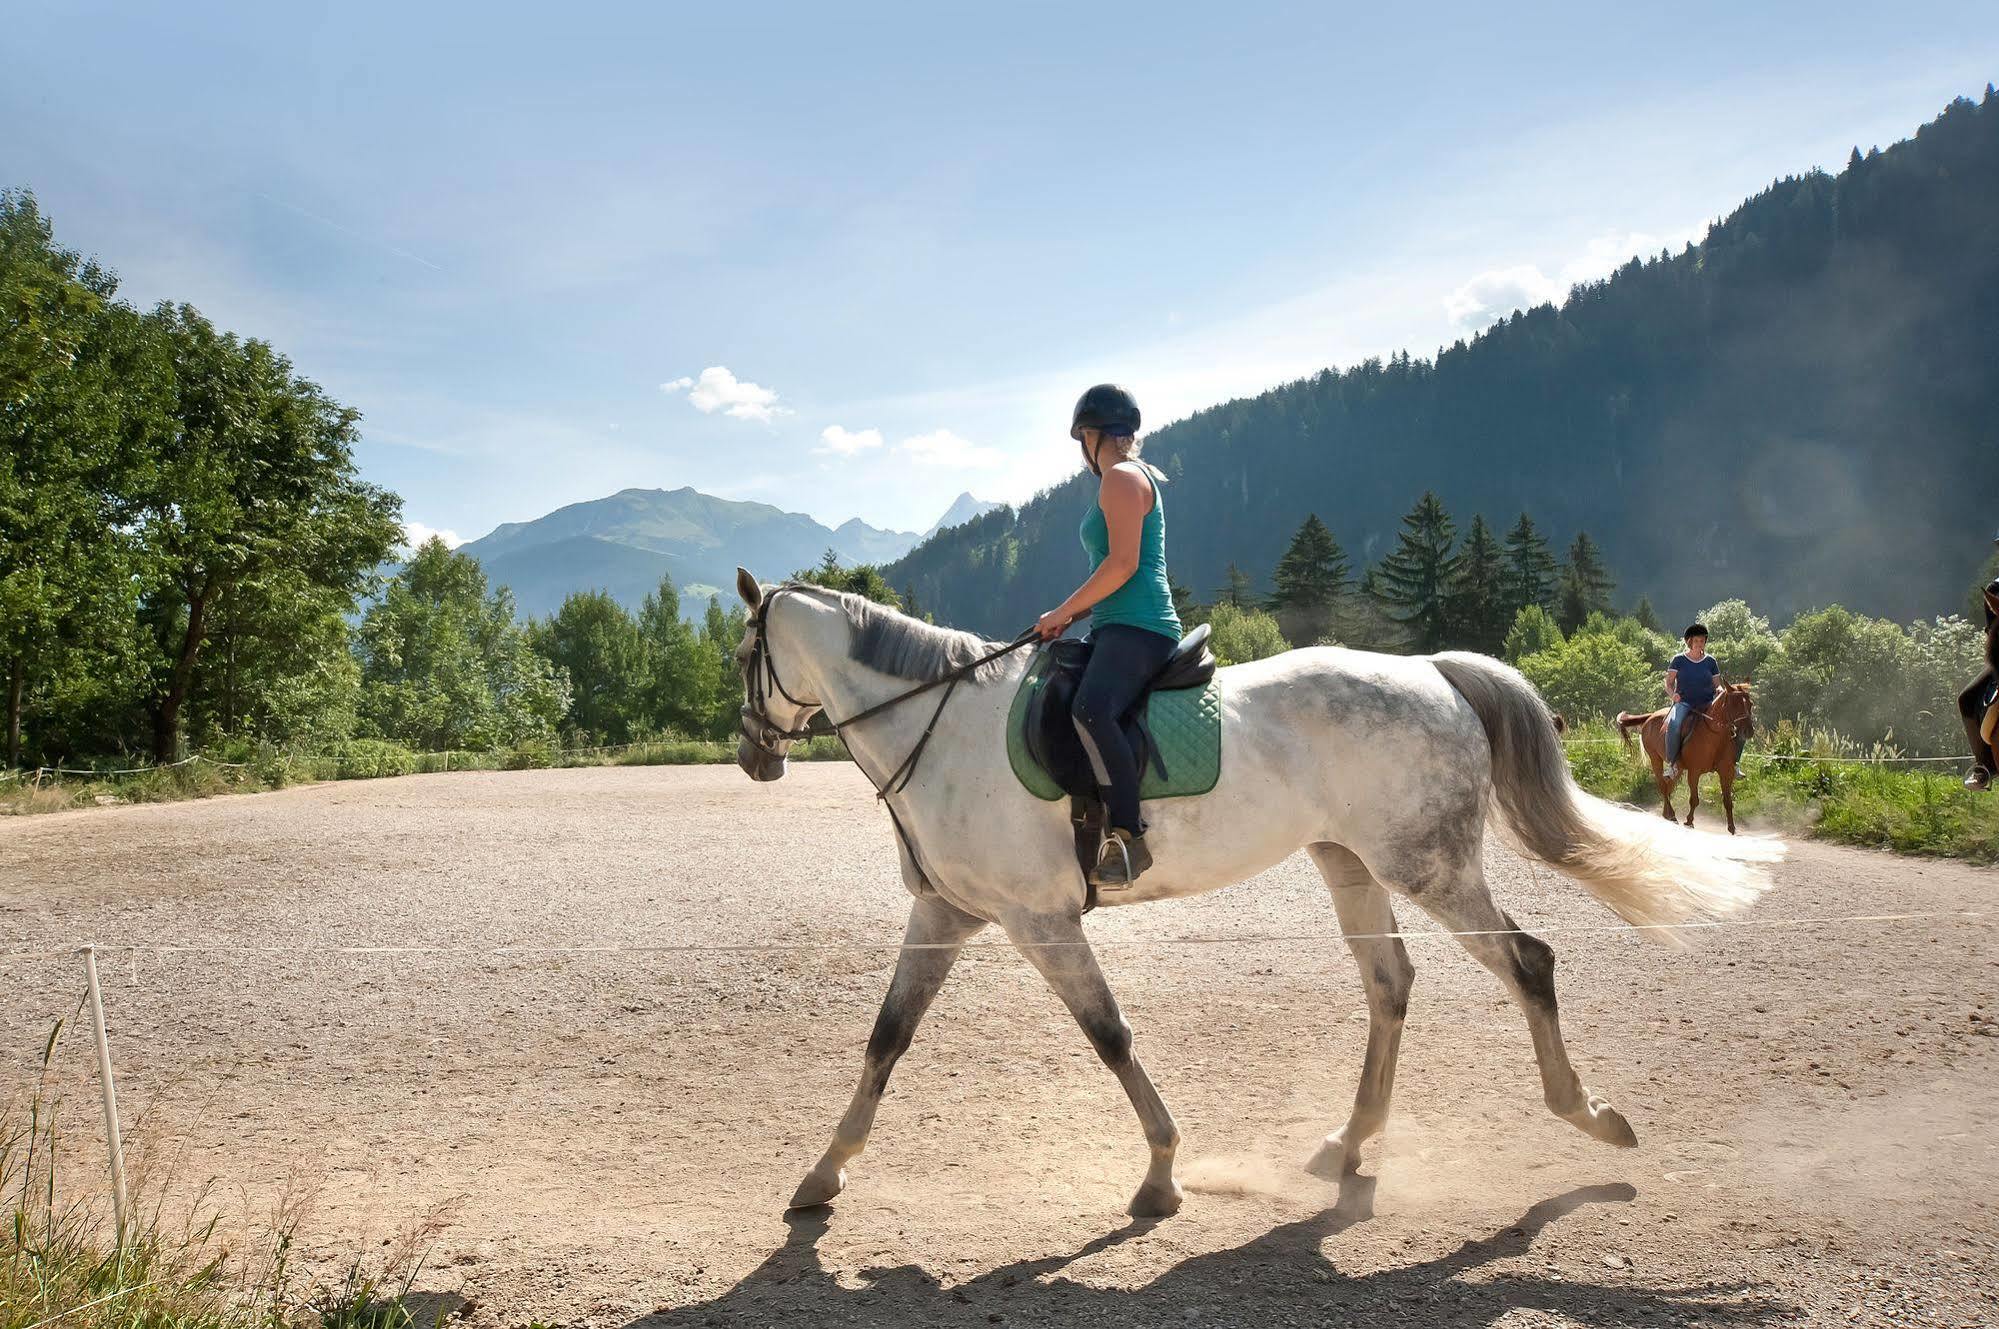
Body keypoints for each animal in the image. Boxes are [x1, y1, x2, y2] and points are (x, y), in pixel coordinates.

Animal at [1615, 683, 1759, 831]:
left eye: (1750, 704)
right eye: (1734, 704)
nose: (1748, 731)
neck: (1714, 735)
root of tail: (1651, 716)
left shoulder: (1726, 773)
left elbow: (1728, 801)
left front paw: (1732, 828)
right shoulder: (1694, 772)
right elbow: (1694, 799)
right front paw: (1689, 821)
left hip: (1678, 768)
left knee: (1669, 786)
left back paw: (1667, 814)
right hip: (1655, 759)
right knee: (1663, 785)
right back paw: (1672, 815)